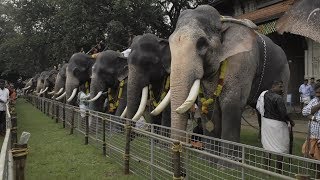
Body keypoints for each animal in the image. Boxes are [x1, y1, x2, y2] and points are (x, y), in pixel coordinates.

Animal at [169, 5, 288, 162]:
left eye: (201, 43)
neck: (222, 21)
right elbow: (208, 105)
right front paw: (208, 161)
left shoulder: (242, 60)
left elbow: (231, 103)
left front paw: (229, 164)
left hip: (284, 72)